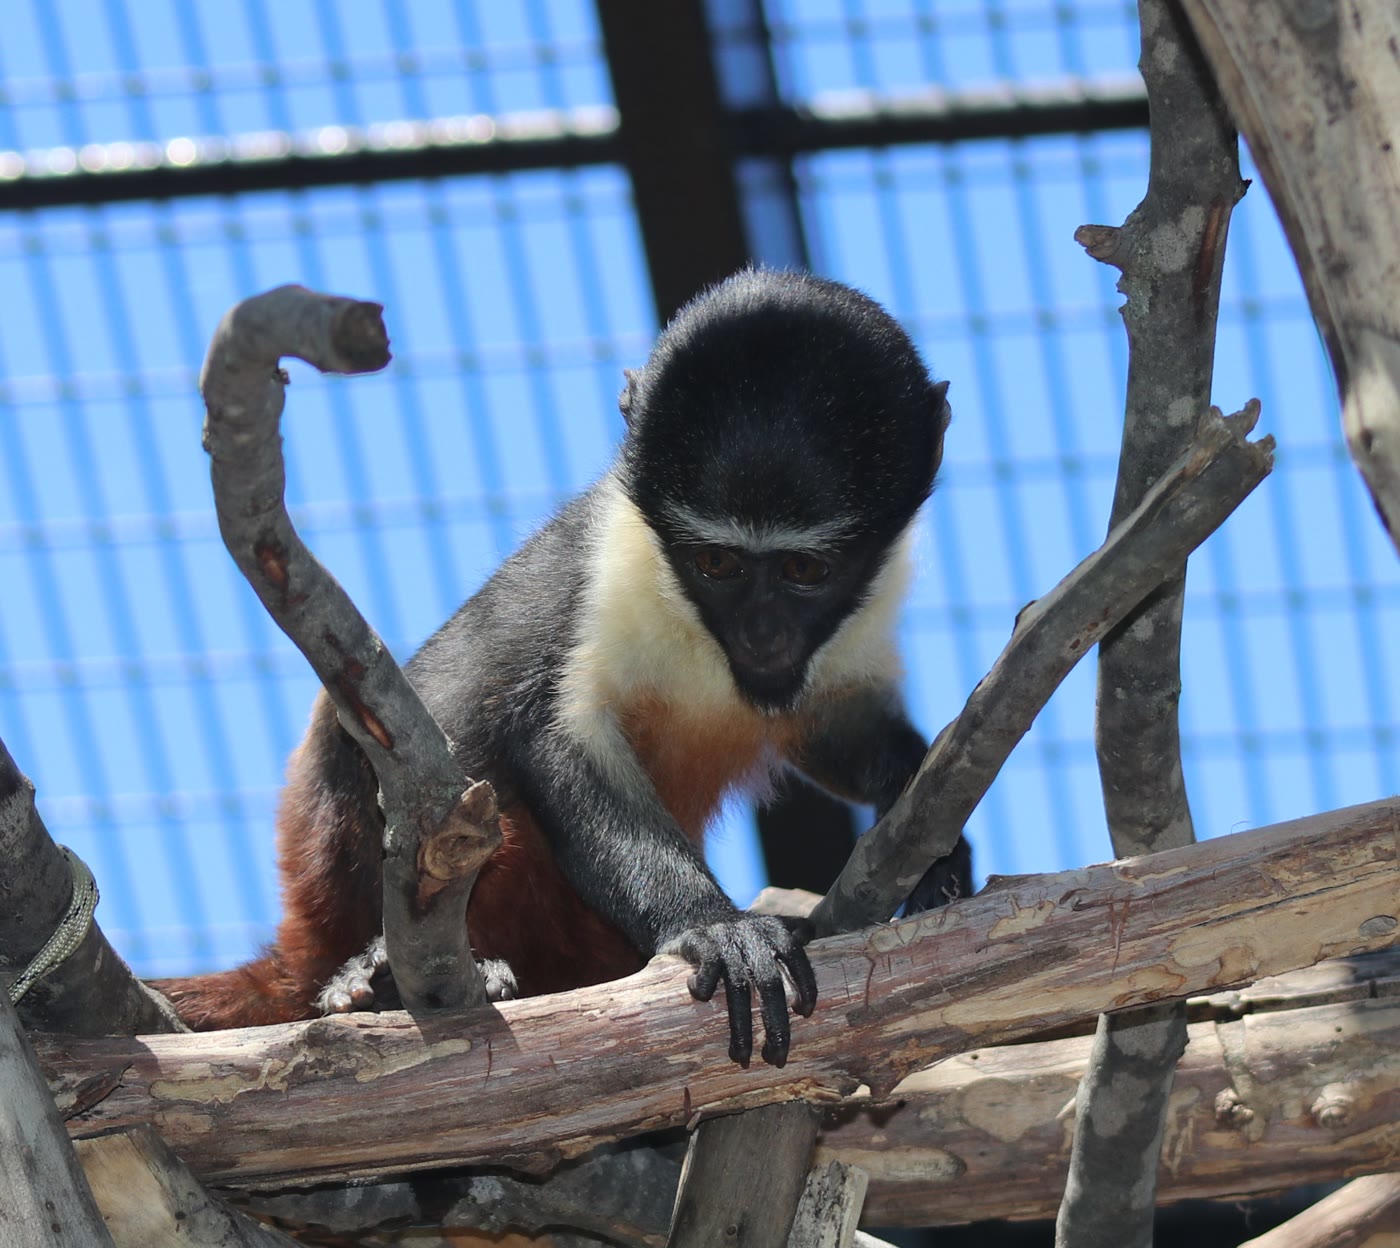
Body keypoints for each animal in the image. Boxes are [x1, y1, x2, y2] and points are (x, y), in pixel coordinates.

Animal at [154, 268, 970, 1068]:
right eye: (717, 563)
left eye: (804, 570)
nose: (761, 632)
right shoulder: (607, 565)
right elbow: (557, 743)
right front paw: (713, 925)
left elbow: (842, 731)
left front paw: (937, 850)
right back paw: (368, 981)